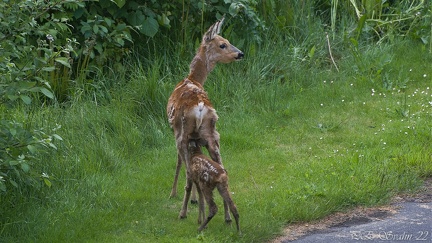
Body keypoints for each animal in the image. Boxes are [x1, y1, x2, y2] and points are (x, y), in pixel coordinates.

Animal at [166, 16, 243, 222]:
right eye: (223, 44)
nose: (240, 53)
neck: (193, 79)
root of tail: (200, 107)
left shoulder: (175, 132)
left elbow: (178, 162)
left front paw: (174, 193)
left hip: (183, 133)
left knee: (188, 172)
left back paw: (183, 212)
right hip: (213, 134)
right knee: (222, 167)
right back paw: (227, 216)